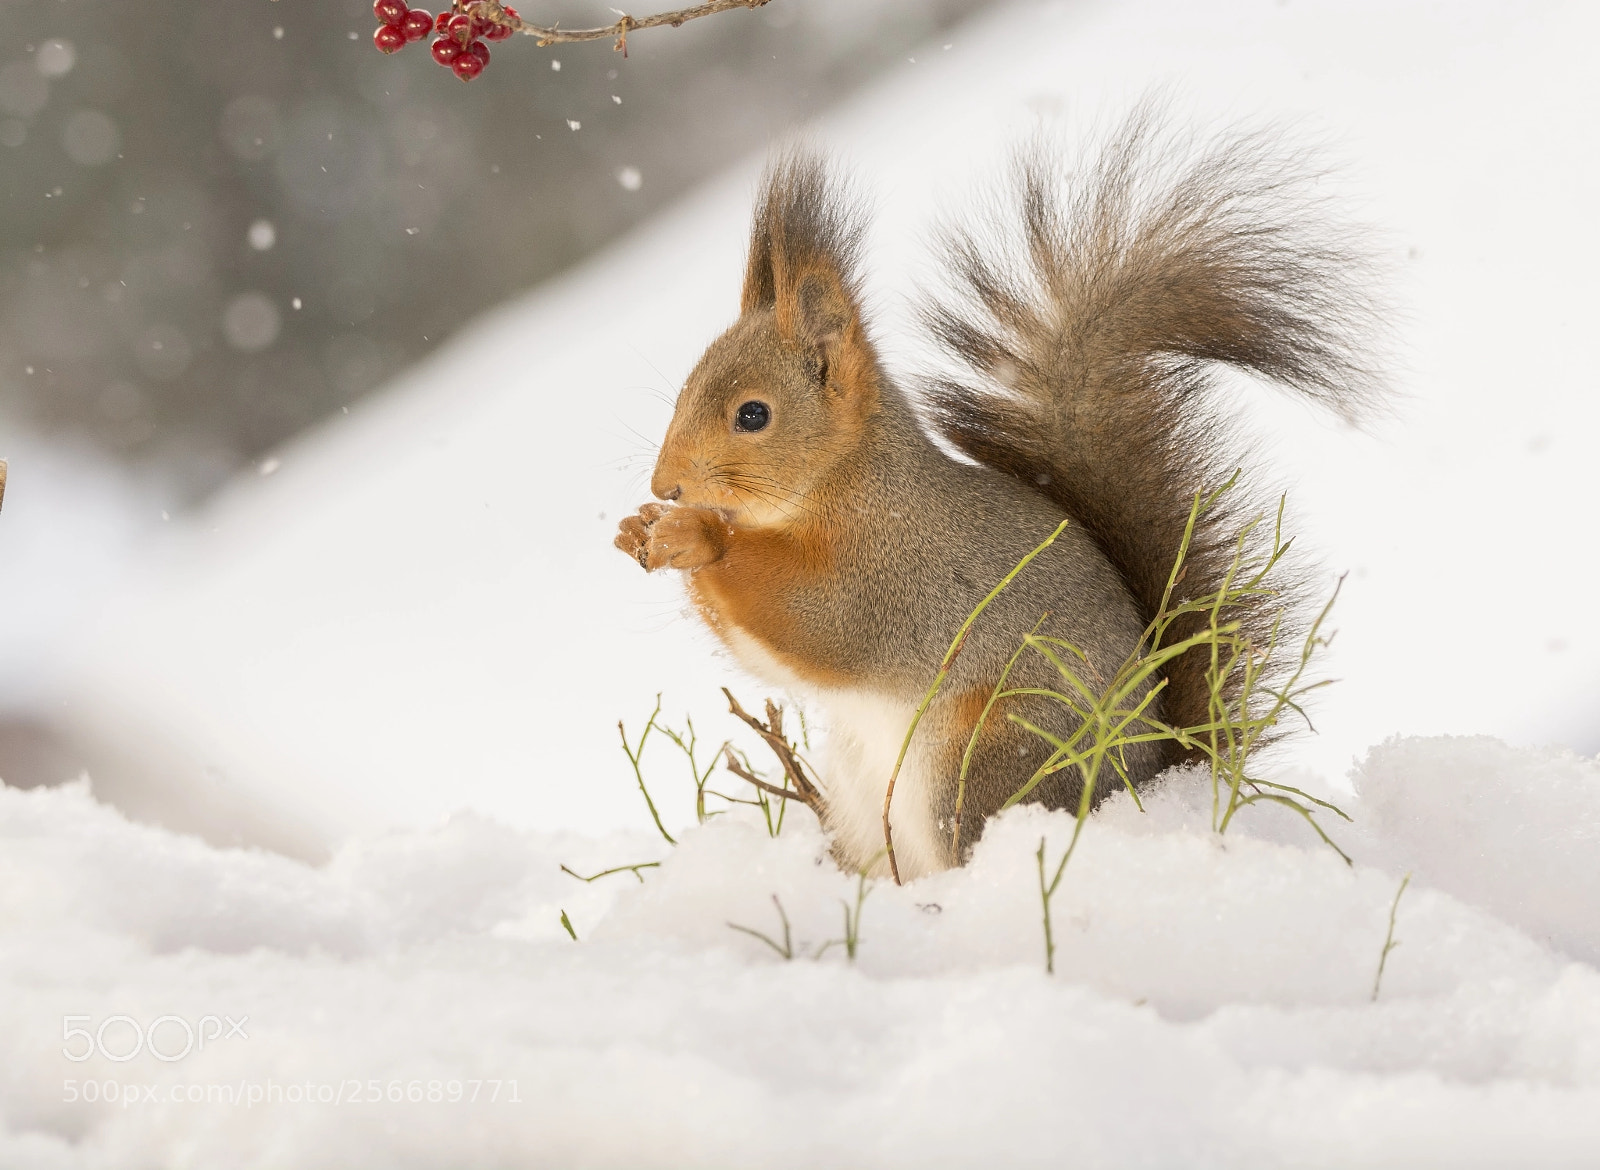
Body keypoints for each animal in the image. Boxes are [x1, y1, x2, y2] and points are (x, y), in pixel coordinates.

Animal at [615, 113, 1380, 881]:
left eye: (753, 415)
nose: (664, 485)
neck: (847, 483)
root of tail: (1155, 782)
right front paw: (639, 527)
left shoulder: (891, 576)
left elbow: (812, 620)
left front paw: (694, 535)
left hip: (984, 757)